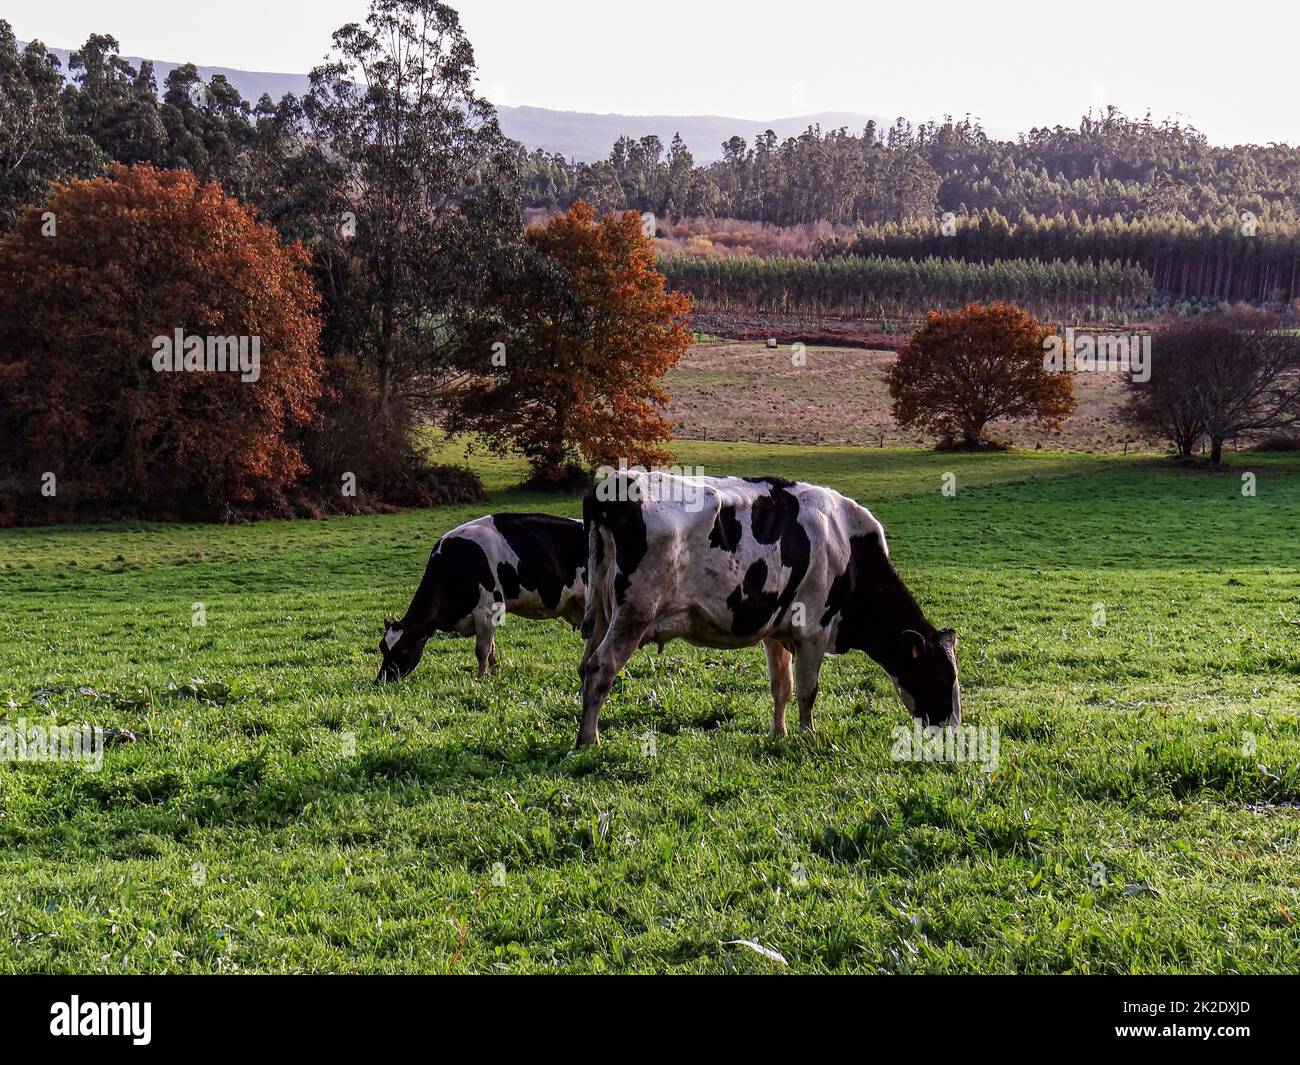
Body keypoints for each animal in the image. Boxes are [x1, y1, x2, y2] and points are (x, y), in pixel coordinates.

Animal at [374, 514, 582, 681]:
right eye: (382, 647)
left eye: (403, 650)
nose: (382, 680)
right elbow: (491, 648)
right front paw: (494, 673)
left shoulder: (486, 609)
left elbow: (482, 649)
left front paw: (480, 678)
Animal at [574, 470, 961, 743]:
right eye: (945, 675)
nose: (955, 727)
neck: (848, 547)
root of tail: (610, 486)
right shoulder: (813, 631)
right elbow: (807, 690)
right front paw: (808, 736)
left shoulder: (778, 630)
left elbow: (782, 687)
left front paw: (780, 733)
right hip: (634, 615)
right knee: (601, 668)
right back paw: (589, 740)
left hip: (603, 616)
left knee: (585, 665)